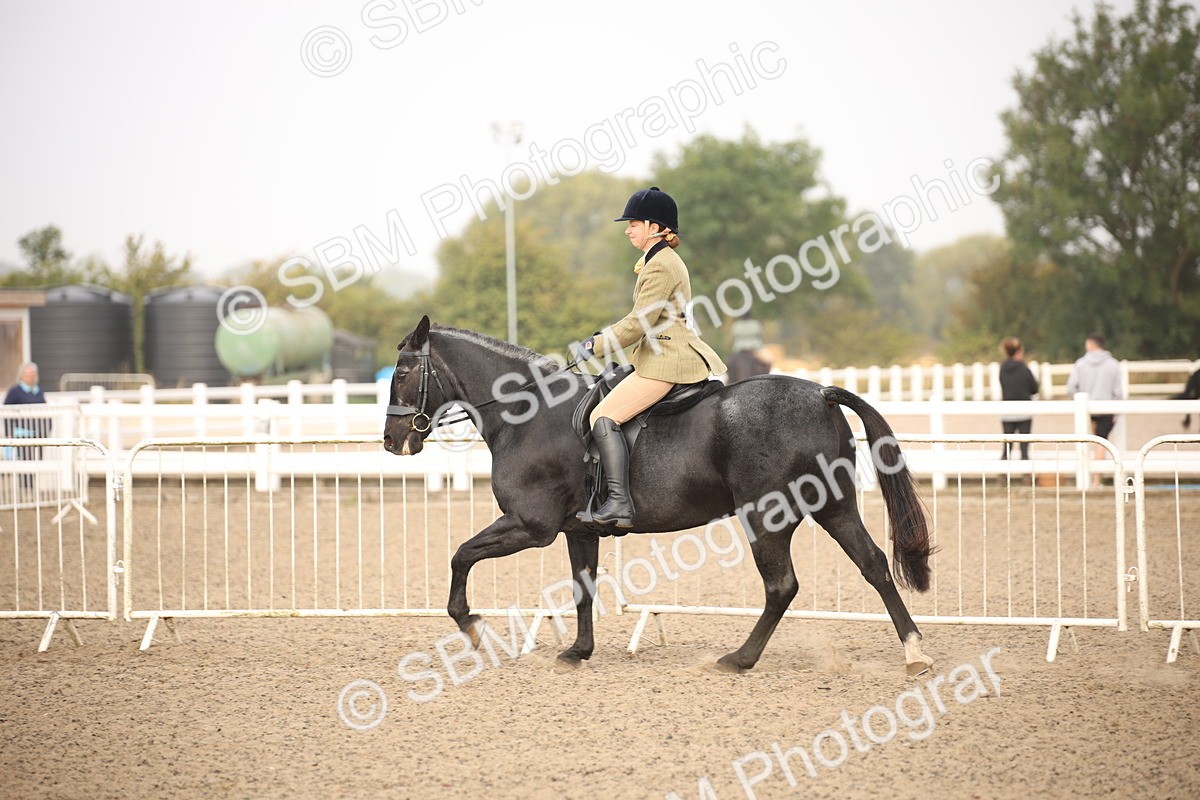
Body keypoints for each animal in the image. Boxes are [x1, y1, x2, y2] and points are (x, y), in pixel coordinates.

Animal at [382, 316, 935, 675]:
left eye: (403, 373)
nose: (392, 441)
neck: (529, 414)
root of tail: (820, 393)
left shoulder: (530, 526)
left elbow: (461, 555)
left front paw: (471, 626)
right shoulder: (578, 529)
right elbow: (583, 587)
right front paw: (579, 651)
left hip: (767, 516)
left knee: (782, 586)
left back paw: (739, 659)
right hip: (834, 507)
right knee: (873, 564)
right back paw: (914, 652)